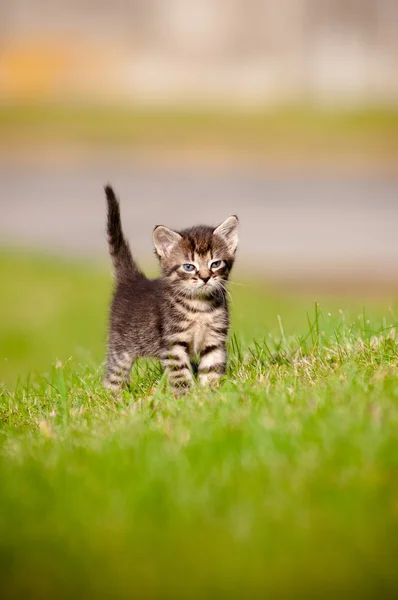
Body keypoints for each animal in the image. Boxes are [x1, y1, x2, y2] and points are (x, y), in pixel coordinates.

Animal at [104, 185, 238, 396]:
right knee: (114, 376)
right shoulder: (172, 343)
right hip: (121, 346)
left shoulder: (215, 340)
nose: (205, 277)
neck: (199, 306)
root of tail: (133, 280)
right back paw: (114, 397)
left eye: (215, 264)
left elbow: (211, 368)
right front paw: (185, 396)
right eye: (189, 267)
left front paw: (210, 393)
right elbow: (180, 373)